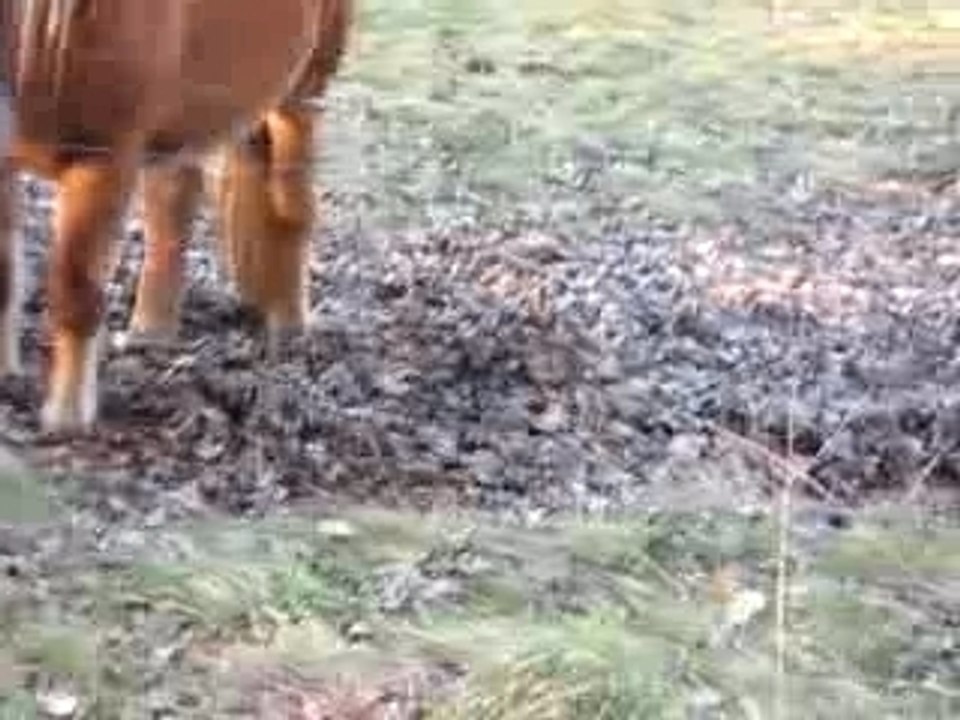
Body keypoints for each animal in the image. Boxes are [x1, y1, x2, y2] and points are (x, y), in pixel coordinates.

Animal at [0, 0, 352, 431]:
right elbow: (3, 278)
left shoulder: (107, 160)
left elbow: (76, 290)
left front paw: (67, 418)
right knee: (174, 205)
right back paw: (150, 332)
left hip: (302, 91)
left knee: (292, 201)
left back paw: (289, 322)